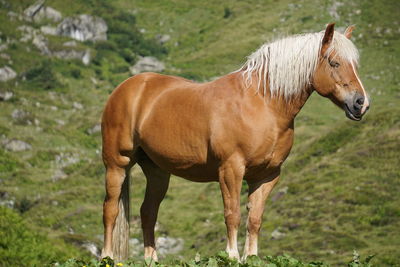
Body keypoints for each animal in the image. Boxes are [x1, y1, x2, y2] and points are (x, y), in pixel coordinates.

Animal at [99, 23, 368, 262]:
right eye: (334, 62)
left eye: (355, 65)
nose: (361, 103)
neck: (262, 104)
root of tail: (128, 87)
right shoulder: (231, 170)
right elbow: (233, 214)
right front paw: (231, 255)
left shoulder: (267, 176)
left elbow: (255, 219)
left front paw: (251, 257)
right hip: (117, 164)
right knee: (111, 210)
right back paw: (107, 256)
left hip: (157, 171)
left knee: (148, 212)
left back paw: (151, 259)